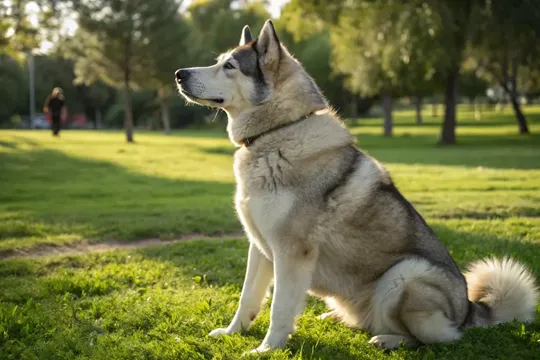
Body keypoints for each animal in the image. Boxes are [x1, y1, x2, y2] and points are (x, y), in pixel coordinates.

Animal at [176, 20, 536, 354]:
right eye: (219, 61)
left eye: (229, 66)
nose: (179, 73)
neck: (277, 132)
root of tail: (470, 311)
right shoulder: (260, 246)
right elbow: (247, 297)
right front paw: (231, 332)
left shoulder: (291, 251)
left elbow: (279, 308)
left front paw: (267, 349)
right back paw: (336, 317)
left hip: (405, 274)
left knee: (433, 338)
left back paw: (388, 340)